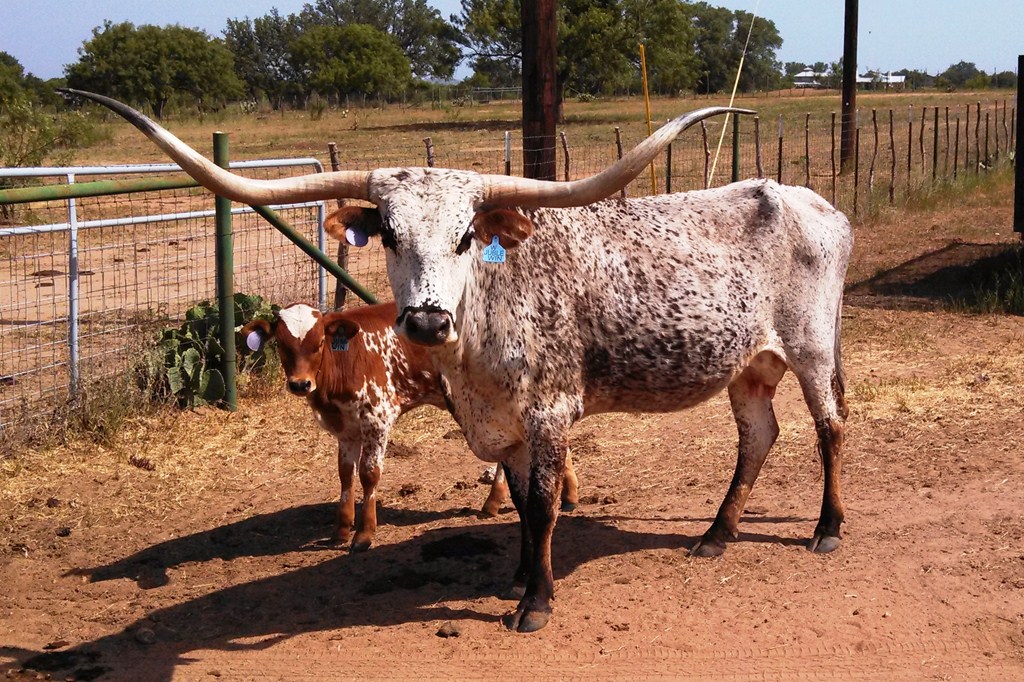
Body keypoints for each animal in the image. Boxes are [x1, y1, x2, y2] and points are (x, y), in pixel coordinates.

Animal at [240, 299, 579, 550]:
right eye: (281, 344)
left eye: (320, 341)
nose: (300, 384)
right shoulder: (345, 429)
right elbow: (345, 475)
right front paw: (341, 529)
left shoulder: (378, 417)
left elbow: (369, 474)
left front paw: (364, 534)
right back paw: (566, 494)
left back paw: (496, 499)